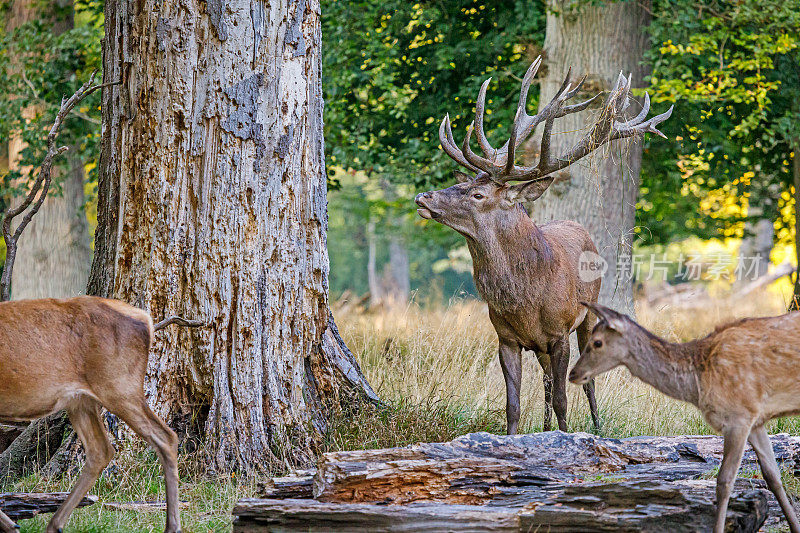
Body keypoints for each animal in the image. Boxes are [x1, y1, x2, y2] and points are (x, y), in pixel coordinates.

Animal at [0, 296, 197, 532]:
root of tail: (147, 320)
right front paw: (12, 524)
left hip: (119, 386)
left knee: (166, 437)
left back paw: (172, 526)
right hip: (81, 401)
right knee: (101, 450)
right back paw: (52, 524)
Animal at [416, 57, 672, 432]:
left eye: (478, 194)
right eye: (458, 183)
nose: (423, 196)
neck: (524, 299)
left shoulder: (559, 334)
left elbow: (566, 398)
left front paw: (566, 436)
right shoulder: (506, 338)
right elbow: (514, 404)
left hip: (588, 314)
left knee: (584, 380)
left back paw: (597, 425)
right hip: (538, 345)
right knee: (547, 382)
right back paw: (547, 426)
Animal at [568, 304, 800, 532]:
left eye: (597, 342)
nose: (572, 374)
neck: (698, 383)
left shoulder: (739, 415)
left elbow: (724, 481)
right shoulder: (755, 419)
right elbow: (772, 475)